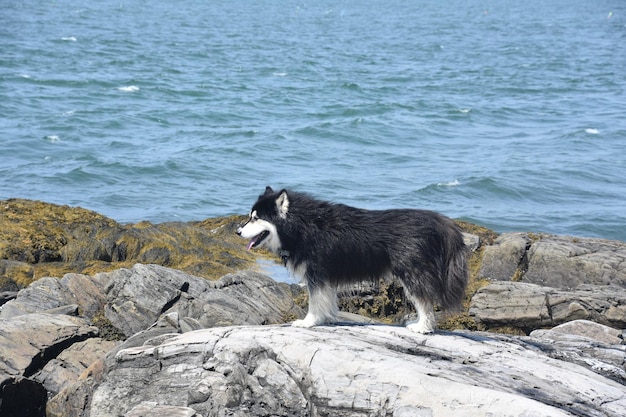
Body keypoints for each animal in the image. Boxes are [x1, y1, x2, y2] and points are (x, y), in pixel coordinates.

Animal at [236, 187, 466, 334]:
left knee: (424, 301)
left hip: (412, 272)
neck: (301, 226)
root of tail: (437, 220)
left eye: (255, 218)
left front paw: (309, 321)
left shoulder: (316, 272)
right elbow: (327, 299)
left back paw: (422, 327)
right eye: (249, 216)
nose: (238, 231)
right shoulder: (324, 276)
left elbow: (314, 300)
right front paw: (326, 319)